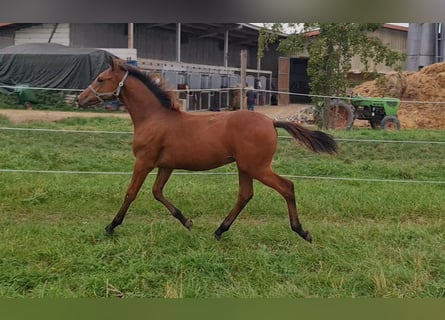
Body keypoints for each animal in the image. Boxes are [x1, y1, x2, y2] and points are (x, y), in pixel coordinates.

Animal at [78, 58, 336, 242]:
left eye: (101, 79)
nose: (80, 99)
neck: (154, 117)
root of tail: (271, 122)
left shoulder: (144, 161)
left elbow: (131, 192)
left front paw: (111, 226)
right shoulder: (166, 165)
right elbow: (157, 192)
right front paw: (187, 221)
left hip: (257, 167)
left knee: (287, 187)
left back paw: (301, 231)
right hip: (245, 167)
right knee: (245, 195)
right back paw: (220, 230)